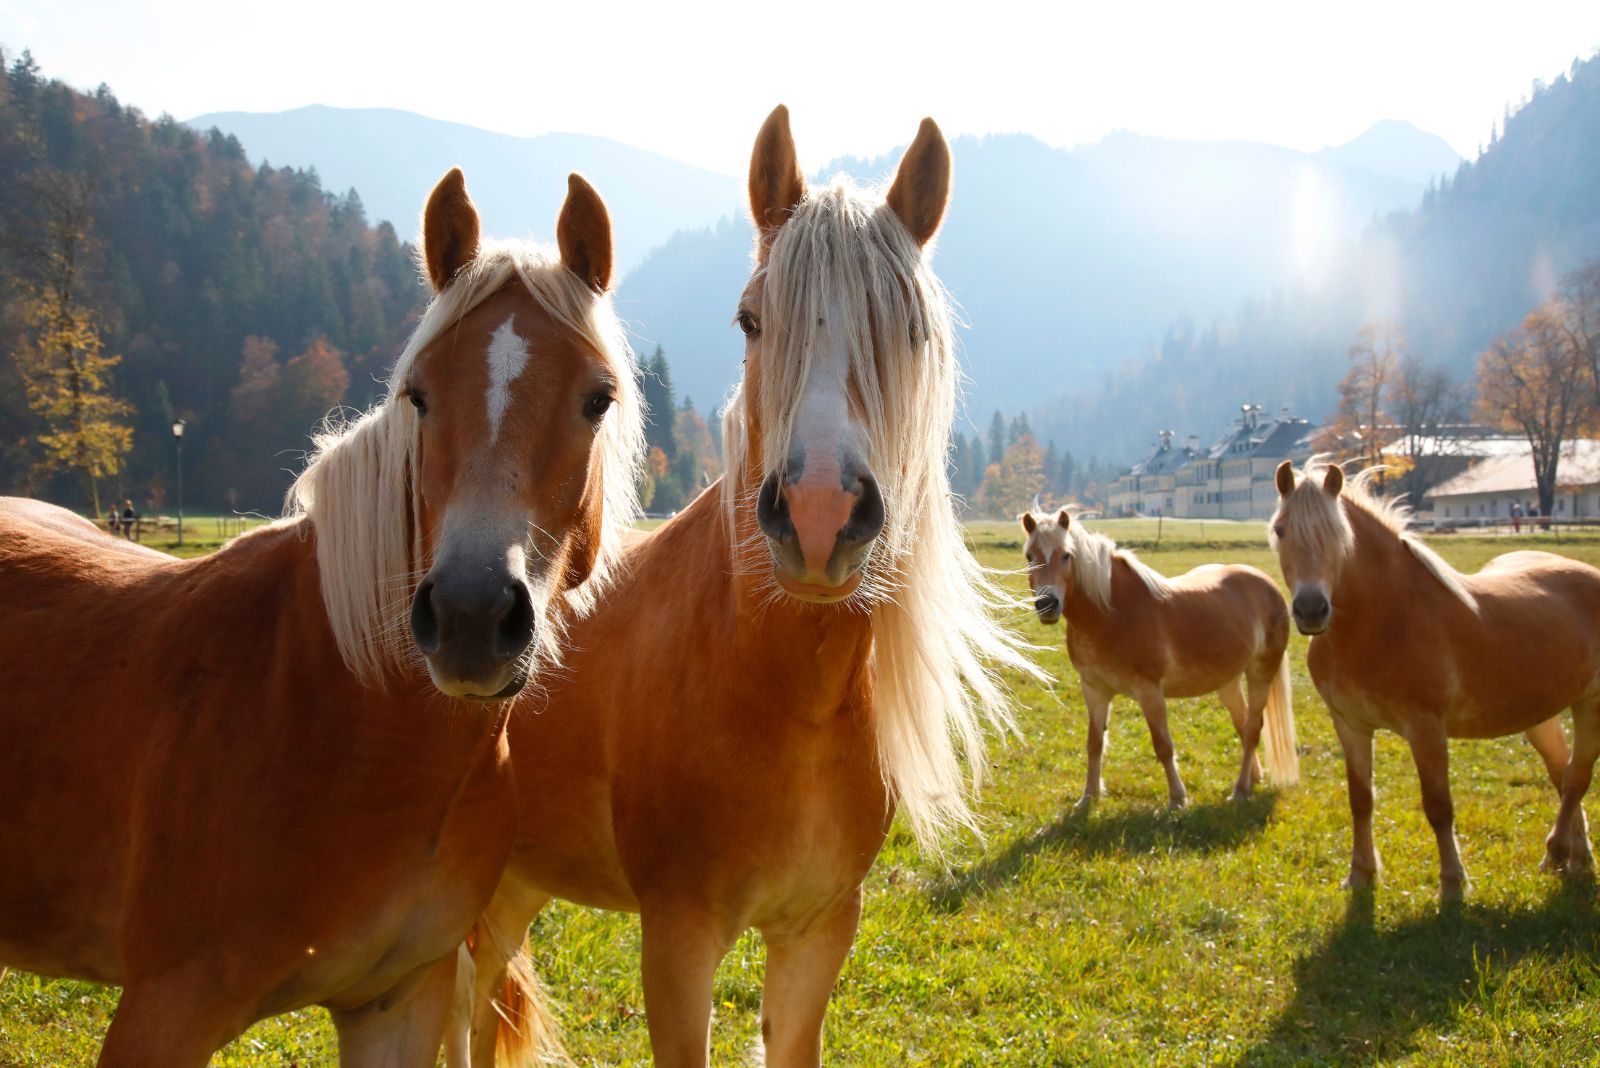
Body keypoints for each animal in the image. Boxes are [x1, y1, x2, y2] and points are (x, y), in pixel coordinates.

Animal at [4, 171, 649, 1061]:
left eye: (598, 398)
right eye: (418, 395)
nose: (471, 614)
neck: (345, 721)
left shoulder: (398, 1003)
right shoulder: (163, 1011)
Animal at [432, 102, 1036, 1068]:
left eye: (911, 330)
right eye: (751, 320)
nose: (822, 513)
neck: (779, 690)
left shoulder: (817, 935)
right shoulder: (678, 942)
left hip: (518, 883)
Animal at [1024, 508, 1299, 808]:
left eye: (1066, 555)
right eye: (1029, 556)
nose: (1047, 605)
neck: (1113, 613)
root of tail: (1267, 584)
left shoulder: (1149, 691)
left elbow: (1163, 745)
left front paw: (1177, 798)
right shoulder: (1094, 690)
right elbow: (1094, 743)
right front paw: (1088, 797)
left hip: (1261, 671)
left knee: (1252, 729)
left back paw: (1239, 790)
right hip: (1228, 681)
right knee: (1242, 722)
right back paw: (1252, 779)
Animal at [1273, 460, 1600, 901]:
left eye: (1339, 534)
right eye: (1280, 530)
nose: (1311, 610)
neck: (1381, 621)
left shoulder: (1426, 728)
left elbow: (1438, 805)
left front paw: (1452, 882)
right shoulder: (1351, 725)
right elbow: (1361, 800)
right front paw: (1360, 874)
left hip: (1590, 705)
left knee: (1577, 776)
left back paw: (1555, 853)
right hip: (1543, 714)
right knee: (1564, 774)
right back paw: (1578, 857)